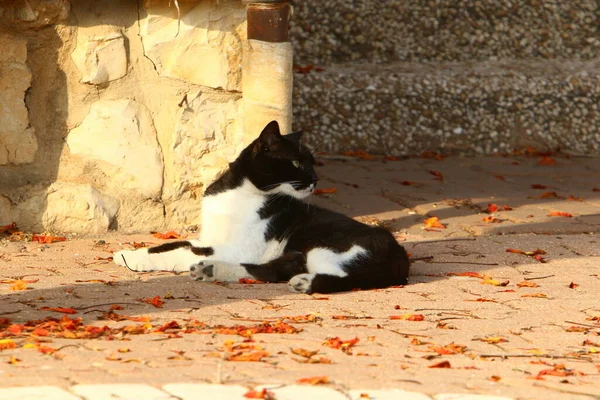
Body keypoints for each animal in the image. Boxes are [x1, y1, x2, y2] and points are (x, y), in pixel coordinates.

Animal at [114, 119, 410, 294]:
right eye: (297, 163)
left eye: (312, 163)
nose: (315, 179)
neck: (238, 192)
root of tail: (399, 254)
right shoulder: (208, 237)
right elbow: (173, 244)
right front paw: (127, 254)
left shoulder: (242, 248)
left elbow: (181, 252)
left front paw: (138, 260)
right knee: (276, 269)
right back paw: (212, 270)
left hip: (326, 248)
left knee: (338, 277)